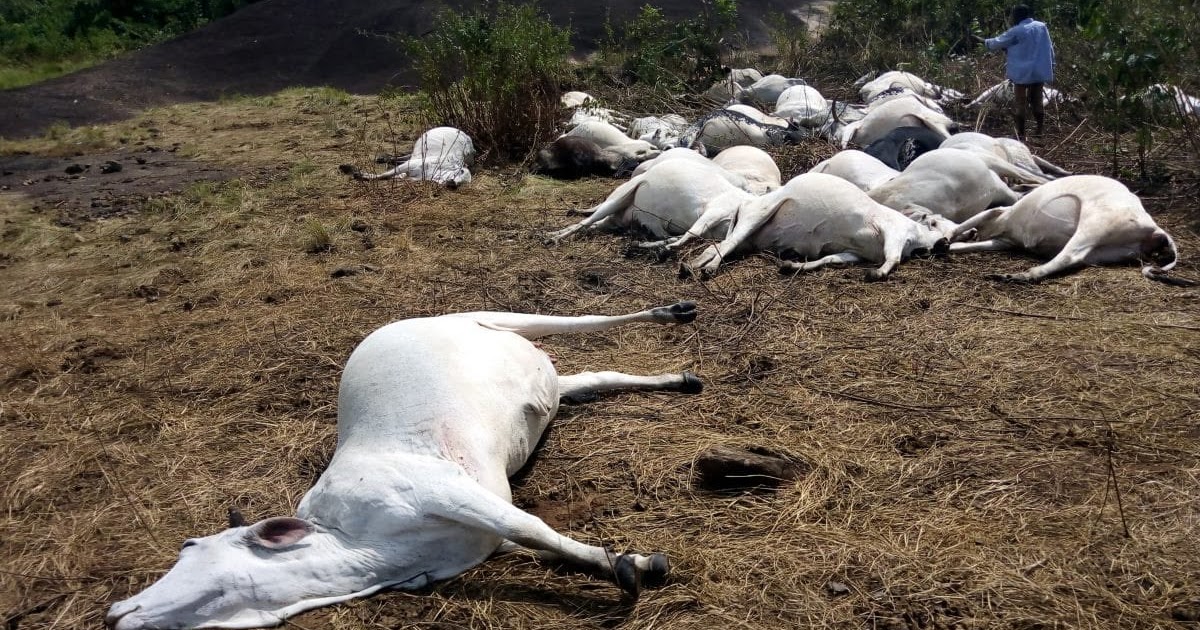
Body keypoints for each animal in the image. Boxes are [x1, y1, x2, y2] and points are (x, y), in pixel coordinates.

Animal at [105, 303, 703, 630]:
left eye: (189, 547)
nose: (115, 613)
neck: (364, 549)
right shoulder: (476, 543)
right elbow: (543, 547)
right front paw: (617, 561)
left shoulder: (446, 490)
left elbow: (532, 525)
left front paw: (636, 564)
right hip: (546, 379)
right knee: (590, 378)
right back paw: (681, 378)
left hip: (494, 316)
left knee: (577, 322)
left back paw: (672, 311)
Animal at [339, 127, 475, 188]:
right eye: (461, 171)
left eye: (463, 184)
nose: (453, 184)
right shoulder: (411, 165)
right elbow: (384, 175)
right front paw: (357, 173)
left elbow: (393, 176)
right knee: (405, 157)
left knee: (404, 157)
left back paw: (383, 159)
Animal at [681, 173, 949, 280]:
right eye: (933, 222)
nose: (944, 243)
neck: (917, 237)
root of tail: (744, 205)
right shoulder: (893, 232)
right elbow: (893, 258)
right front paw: (877, 274)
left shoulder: (853, 253)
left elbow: (828, 259)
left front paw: (791, 265)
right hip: (756, 216)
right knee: (727, 244)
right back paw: (708, 269)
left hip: (748, 238)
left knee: (715, 246)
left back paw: (690, 266)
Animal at [945, 175, 1190, 284]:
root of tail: (1155, 228)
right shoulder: (1005, 240)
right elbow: (966, 244)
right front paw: (950, 244)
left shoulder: (1000, 213)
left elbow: (964, 224)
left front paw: (945, 239)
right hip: (1108, 251)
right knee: (1075, 259)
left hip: (1094, 223)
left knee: (1068, 256)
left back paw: (1017, 275)